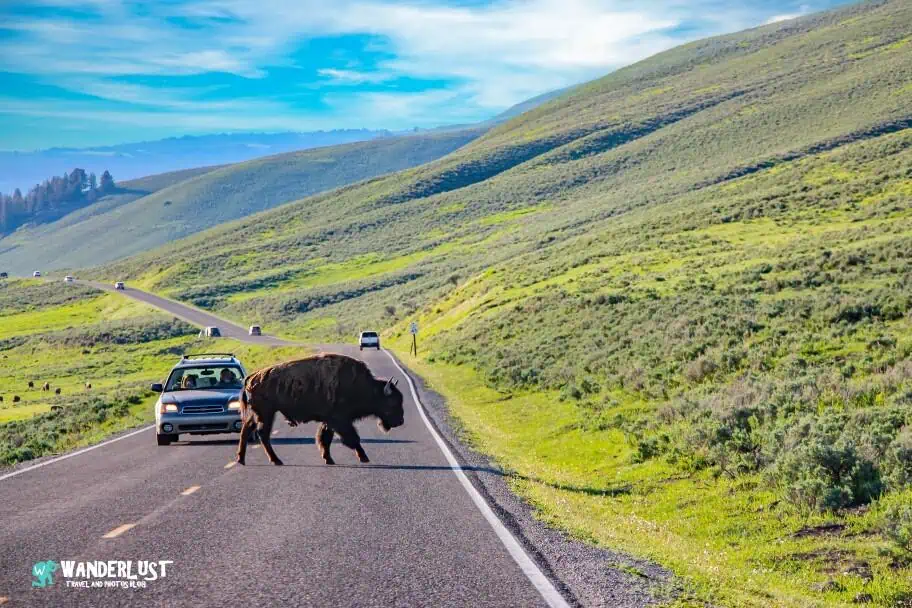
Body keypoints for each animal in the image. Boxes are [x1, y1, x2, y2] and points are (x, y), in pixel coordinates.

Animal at [236, 353, 405, 466]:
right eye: (392, 402)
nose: (400, 421)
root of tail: (252, 377)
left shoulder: (329, 421)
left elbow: (325, 438)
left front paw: (328, 459)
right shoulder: (339, 420)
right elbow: (352, 438)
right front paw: (364, 457)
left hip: (257, 414)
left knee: (246, 430)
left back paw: (241, 460)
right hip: (266, 413)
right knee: (262, 433)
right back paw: (276, 460)